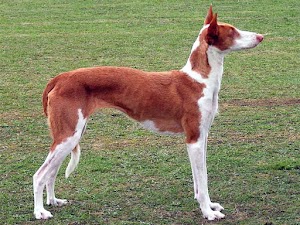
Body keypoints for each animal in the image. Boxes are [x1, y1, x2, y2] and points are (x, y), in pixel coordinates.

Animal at [32, 5, 262, 221]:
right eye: (232, 31)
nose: (261, 36)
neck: (199, 80)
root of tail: (60, 78)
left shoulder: (202, 137)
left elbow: (200, 180)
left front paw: (210, 205)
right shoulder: (194, 140)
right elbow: (203, 181)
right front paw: (208, 212)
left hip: (70, 135)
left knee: (51, 173)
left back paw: (53, 201)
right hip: (68, 136)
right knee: (39, 175)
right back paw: (40, 211)